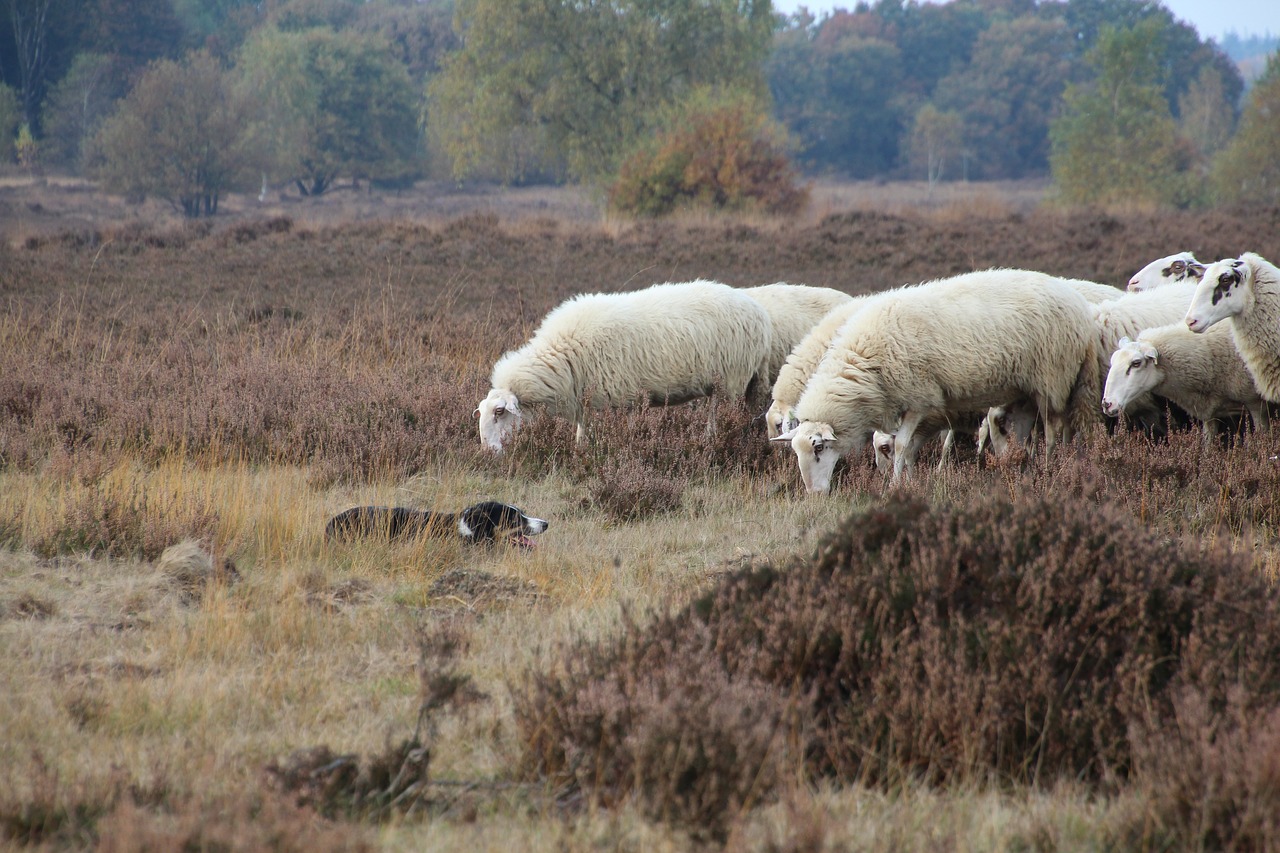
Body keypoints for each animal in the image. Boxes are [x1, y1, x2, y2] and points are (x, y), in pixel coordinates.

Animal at [473, 279, 762, 450]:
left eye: (499, 412)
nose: (487, 452)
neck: (563, 357)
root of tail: (753, 306)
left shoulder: (624, 397)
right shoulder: (586, 401)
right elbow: (581, 434)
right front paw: (580, 453)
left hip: (729, 381)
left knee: (717, 416)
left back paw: (710, 441)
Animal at [768, 268, 1100, 489]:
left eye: (819, 448)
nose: (814, 494)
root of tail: (1079, 305)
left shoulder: (919, 398)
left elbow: (902, 445)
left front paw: (896, 485)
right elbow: (908, 446)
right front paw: (909, 480)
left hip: (1053, 378)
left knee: (1055, 429)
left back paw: (1052, 467)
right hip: (1024, 390)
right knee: (1021, 432)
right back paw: (1017, 469)